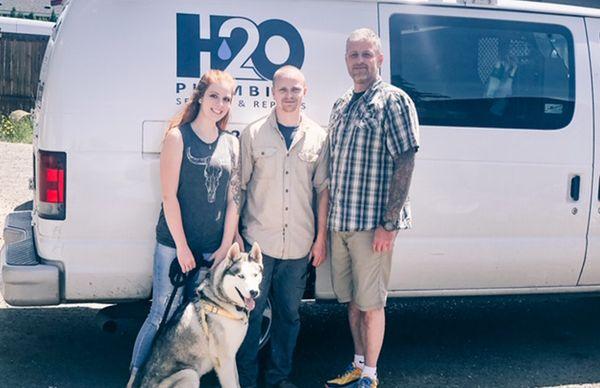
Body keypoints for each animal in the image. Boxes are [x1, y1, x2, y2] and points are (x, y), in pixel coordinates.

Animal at [131, 241, 262, 386]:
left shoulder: (231, 357)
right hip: (190, 374)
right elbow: (232, 384)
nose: (254, 292)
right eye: (241, 276)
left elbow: (237, 381)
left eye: (255, 275)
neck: (221, 302)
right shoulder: (224, 360)